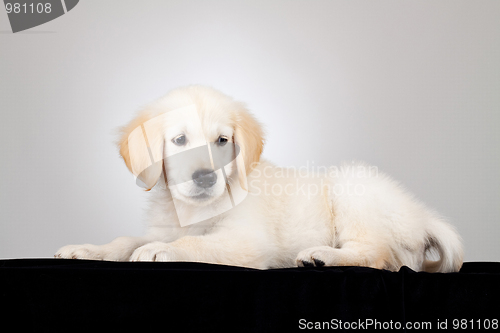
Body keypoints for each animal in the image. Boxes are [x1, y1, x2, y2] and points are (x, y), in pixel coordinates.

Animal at [52, 84, 462, 272]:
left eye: (222, 141)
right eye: (179, 140)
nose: (205, 178)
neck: (195, 211)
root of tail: (420, 216)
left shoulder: (248, 241)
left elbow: (197, 244)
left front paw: (157, 252)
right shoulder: (164, 226)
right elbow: (124, 241)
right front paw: (86, 250)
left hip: (354, 187)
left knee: (380, 257)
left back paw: (322, 255)